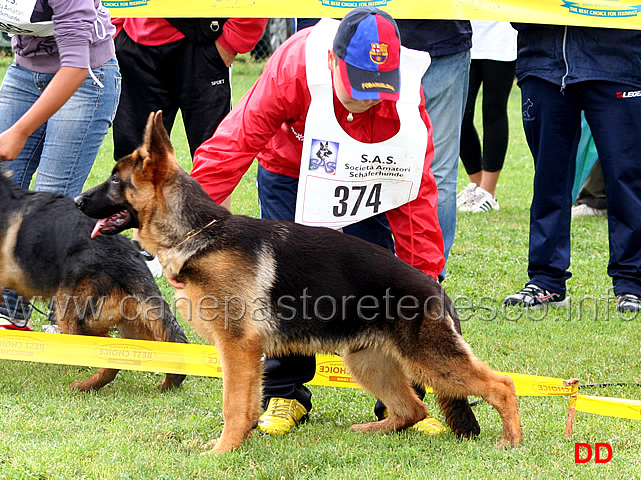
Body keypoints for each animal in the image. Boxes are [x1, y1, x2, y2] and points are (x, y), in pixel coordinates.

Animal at [77, 112, 524, 454]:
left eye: (115, 181)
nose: (78, 202)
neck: (197, 233)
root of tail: (436, 290)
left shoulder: (237, 348)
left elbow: (233, 405)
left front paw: (222, 451)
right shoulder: (245, 353)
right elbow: (246, 405)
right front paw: (237, 444)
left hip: (428, 360)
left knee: (501, 385)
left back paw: (511, 441)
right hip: (366, 362)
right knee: (413, 409)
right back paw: (372, 431)